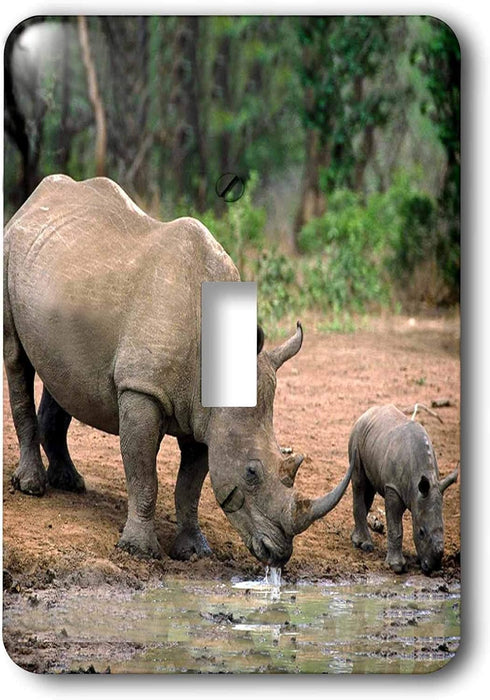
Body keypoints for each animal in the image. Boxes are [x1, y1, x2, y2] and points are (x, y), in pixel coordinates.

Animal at [4, 174, 353, 568]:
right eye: (251, 473)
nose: (278, 553)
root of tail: (34, 200)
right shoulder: (141, 389)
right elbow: (144, 475)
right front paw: (139, 551)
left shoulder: (206, 416)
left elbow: (191, 485)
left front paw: (193, 552)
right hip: (10, 248)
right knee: (16, 359)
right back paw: (32, 487)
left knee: (61, 374)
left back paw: (69, 483)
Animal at [349, 404, 458, 574]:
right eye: (421, 532)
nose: (431, 568)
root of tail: (366, 413)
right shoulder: (393, 487)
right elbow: (395, 527)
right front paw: (397, 566)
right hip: (357, 435)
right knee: (359, 483)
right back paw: (365, 546)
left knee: (369, 490)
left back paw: (356, 539)